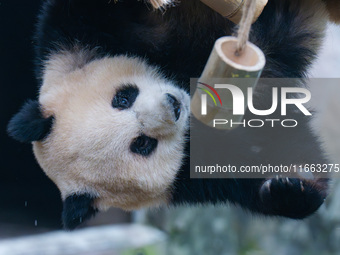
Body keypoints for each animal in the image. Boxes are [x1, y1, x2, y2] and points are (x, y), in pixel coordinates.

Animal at [5, 0, 338, 229]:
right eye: (142, 144)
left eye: (122, 98)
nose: (173, 105)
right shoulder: (195, 174)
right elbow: (269, 151)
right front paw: (290, 188)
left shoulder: (69, 40)